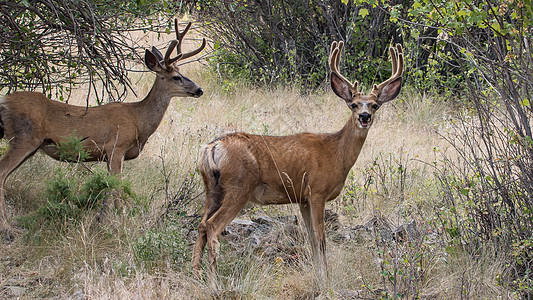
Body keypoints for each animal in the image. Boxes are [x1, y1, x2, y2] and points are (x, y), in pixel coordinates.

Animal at [0, 19, 206, 238]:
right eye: (176, 77)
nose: (199, 90)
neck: (139, 120)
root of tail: (4, 101)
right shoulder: (116, 146)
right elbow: (117, 188)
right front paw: (119, 222)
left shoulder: (108, 155)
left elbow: (108, 188)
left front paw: (101, 220)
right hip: (24, 138)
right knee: (1, 173)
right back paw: (8, 228)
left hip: (29, 144)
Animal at [191, 41, 404, 282]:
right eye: (354, 104)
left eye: (375, 105)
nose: (364, 117)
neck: (336, 154)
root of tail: (212, 147)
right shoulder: (317, 191)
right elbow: (321, 238)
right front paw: (326, 277)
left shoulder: (302, 198)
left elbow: (311, 239)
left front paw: (318, 273)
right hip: (239, 187)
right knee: (212, 226)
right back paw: (213, 278)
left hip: (212, 189)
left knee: (201, 225)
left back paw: (196, 274)